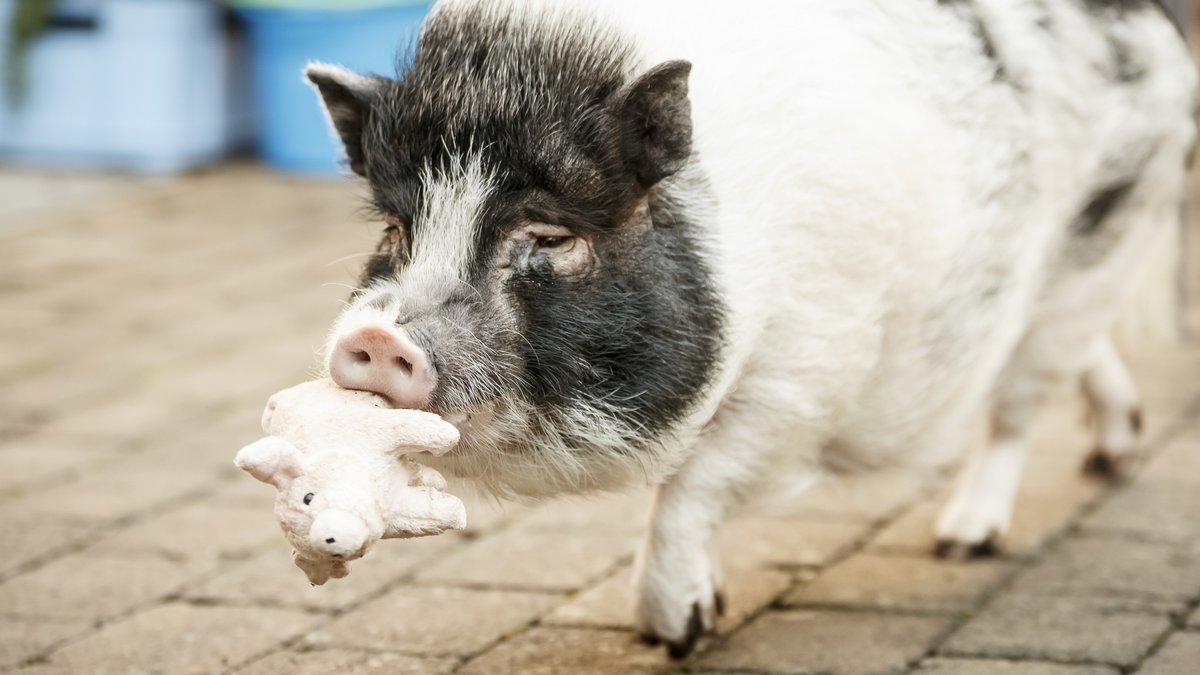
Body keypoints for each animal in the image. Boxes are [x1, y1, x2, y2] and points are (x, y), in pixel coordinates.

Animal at [304, 0, 1196, 657]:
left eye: (550, 238)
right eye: (396, 231)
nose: (377, 341)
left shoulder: (808, 376)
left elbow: (697, 481)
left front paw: (675, 633)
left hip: (1100, 246)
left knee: (1018, 403)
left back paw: (962, 540)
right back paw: (1110, 453)